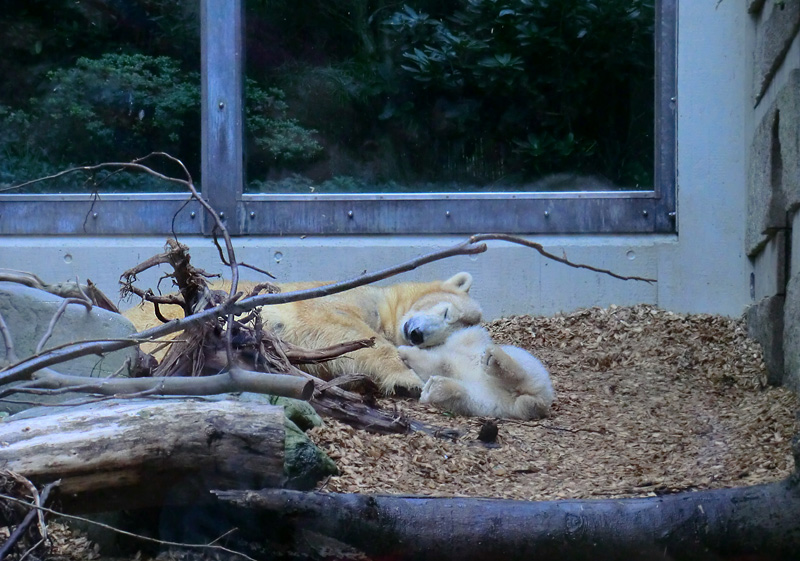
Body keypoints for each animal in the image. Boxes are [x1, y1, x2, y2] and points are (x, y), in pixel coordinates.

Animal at [396, 324, 552, 420]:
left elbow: (438, 362)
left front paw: (403, 351)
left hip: (530, 364)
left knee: (521, 372)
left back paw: (493, 360)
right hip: (495, 402)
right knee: (468, 396)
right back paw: (435, 388)